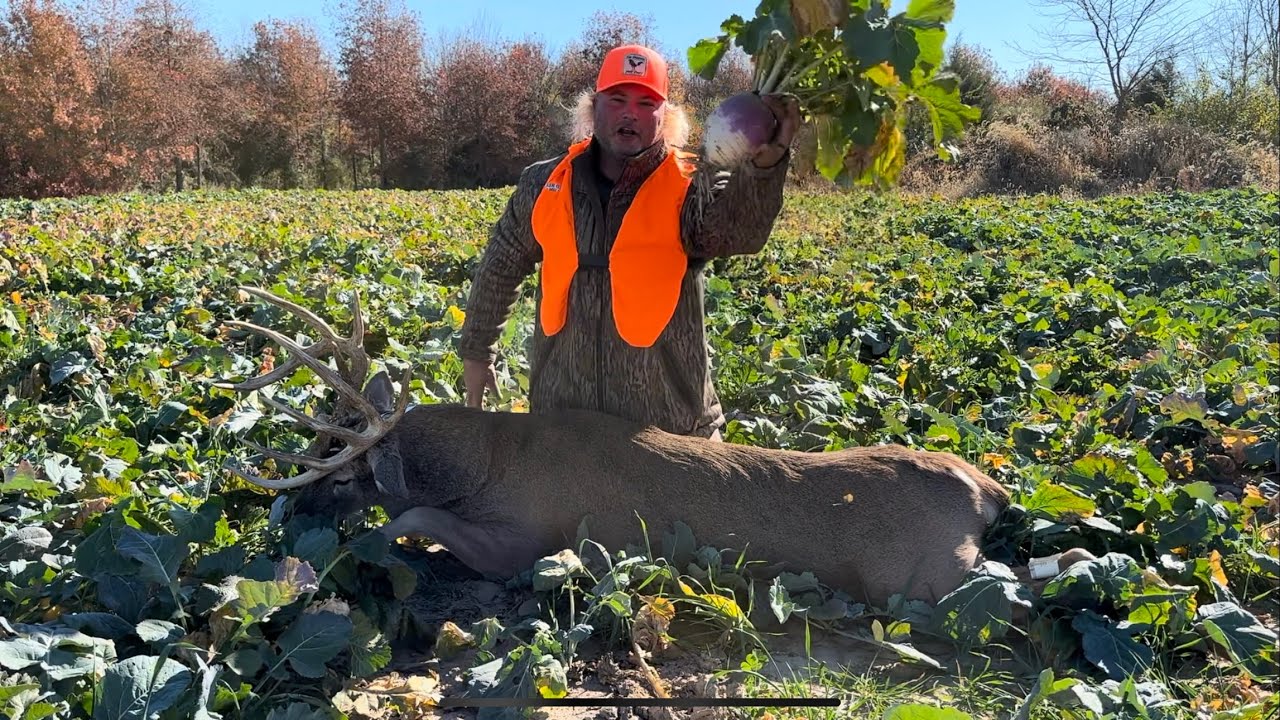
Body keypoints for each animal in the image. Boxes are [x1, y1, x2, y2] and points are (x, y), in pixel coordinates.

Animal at [213, 286, 1051, 614]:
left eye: (340, 473)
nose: (285, 520)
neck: (488, 465)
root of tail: (986, 489)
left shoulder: (528, 539)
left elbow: (410, 519)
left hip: (925, 578)